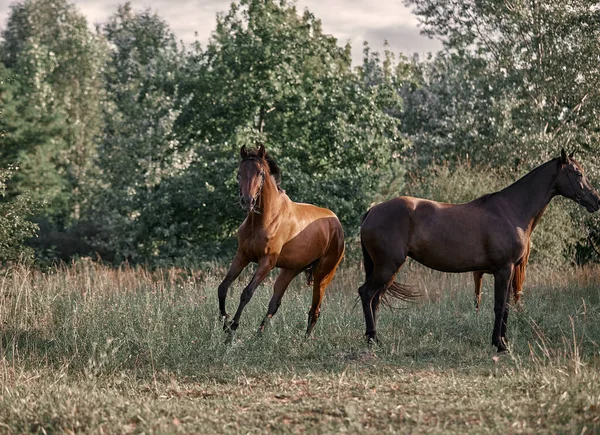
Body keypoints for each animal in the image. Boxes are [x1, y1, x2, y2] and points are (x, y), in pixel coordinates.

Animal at [218, 146, 344, 338]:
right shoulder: (242, 256)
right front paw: (224, 323)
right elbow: (223, 287)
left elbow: (247, 293)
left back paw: (304, 340)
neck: (263, 220)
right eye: (239, 173)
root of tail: (336, 223)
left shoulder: (267, 262)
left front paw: (232, 328)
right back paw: (258, 337)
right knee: (275, 303)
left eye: (260, 173)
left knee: (314, 310)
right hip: (290, 271)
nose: (247, 201)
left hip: (323, 274)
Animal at [358, 152, 596, 352]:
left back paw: (376, 339)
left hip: (387, 269)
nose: (596, 201)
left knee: (375, 299)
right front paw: (500, 344)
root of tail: (372, 210)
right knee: (366, 294)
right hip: (388, 267)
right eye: (578, 173)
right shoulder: (503, 270)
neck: (511, 210)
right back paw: (372, 338)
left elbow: (506, 307)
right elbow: (499, 306)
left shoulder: (507, 271)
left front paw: (502, 341)